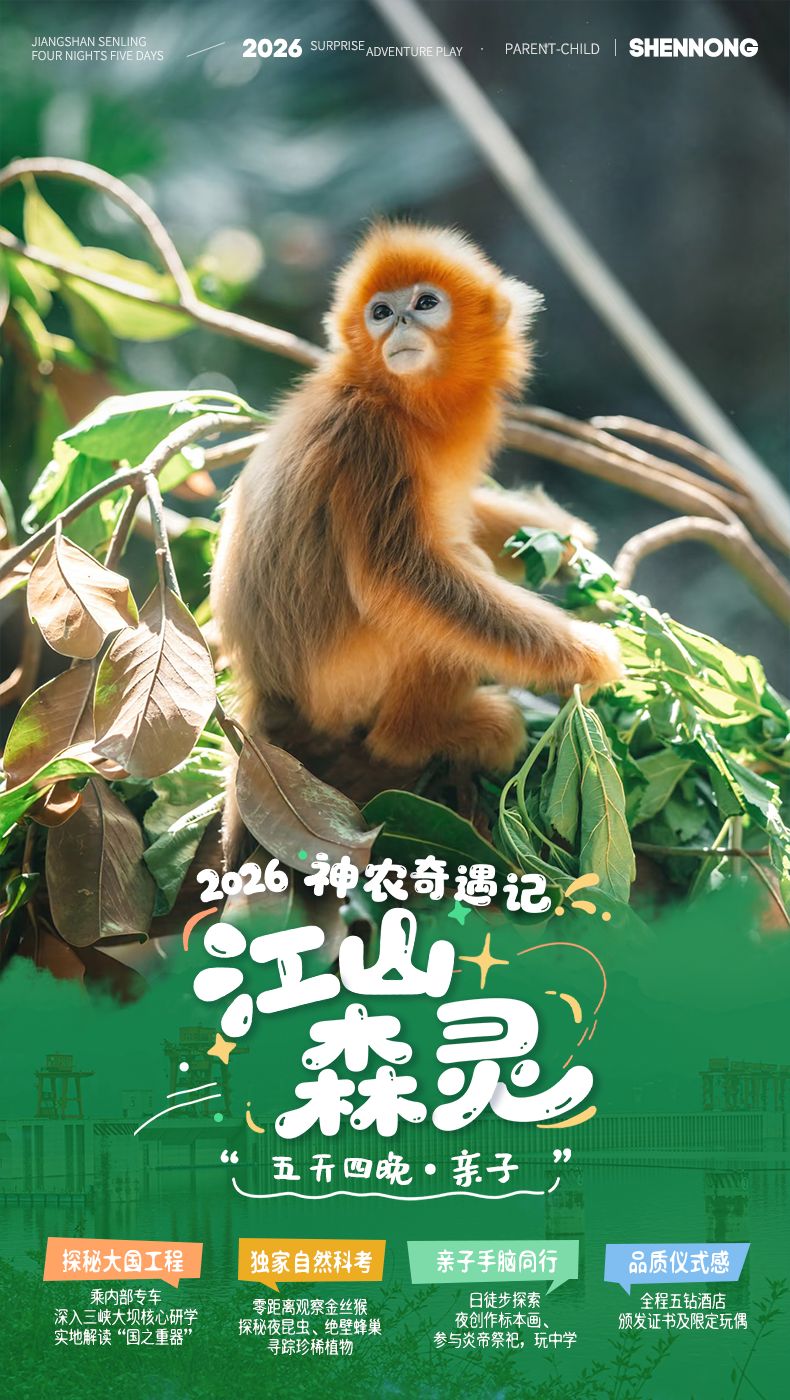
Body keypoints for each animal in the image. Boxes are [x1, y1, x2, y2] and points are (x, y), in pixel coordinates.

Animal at [211, 223, 623, 858]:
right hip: (341, 688)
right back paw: (428, 736)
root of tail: (266, 698)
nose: (400, 321)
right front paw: (587, 654)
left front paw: (566, 541)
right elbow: (400, 576)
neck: (393, 396)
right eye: (381, 312)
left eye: (425, 303)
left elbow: (458, 516)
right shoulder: (369, 438)